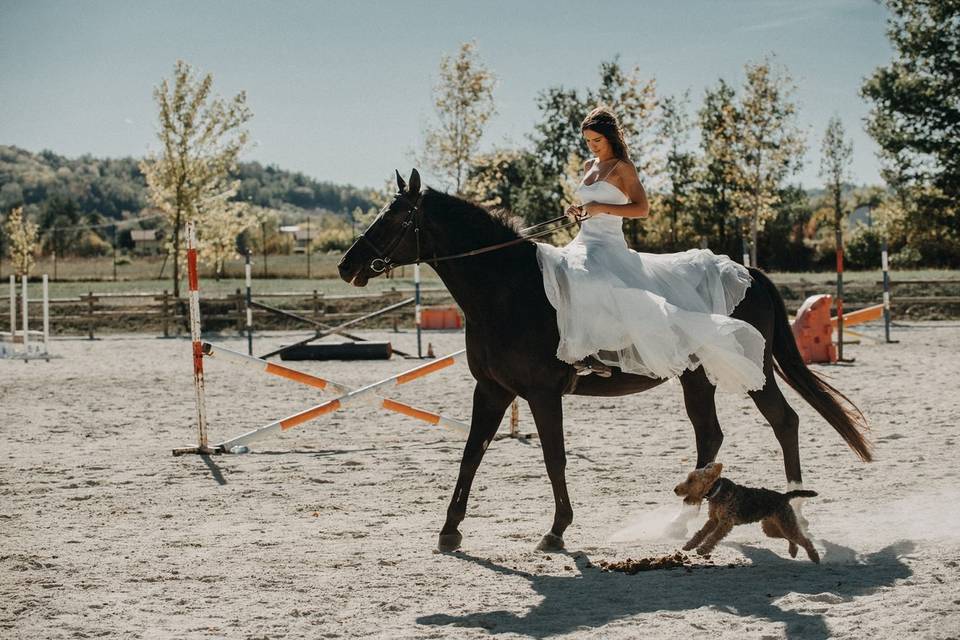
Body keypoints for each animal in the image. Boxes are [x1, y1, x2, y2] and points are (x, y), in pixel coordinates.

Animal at [338, 168, 872, 552]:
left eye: (395, 218)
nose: (346, 265)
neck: (508, 288)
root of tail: (749, 272)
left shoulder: (541, 393)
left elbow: (553, 458)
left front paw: (556, 530)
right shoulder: (491, 390)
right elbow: (471, 454)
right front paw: (450, 531)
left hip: (751, 370)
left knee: (784, 421)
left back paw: (794, 507)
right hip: (696, 377)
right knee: (711, 436)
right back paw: (681, 520)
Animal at [672, 462, 820, 564]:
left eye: (691, 480)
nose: (675, 489)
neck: (717, 491)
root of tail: (784, 496)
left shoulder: (725, 522)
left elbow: (713, 537)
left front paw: (703, 549)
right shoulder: (714, 520)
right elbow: (701, 533)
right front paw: (689, 545)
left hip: (785, 523)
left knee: (804, 540)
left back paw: (814, 557)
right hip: (771, 528)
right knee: (792, 538)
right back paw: (793, 551)